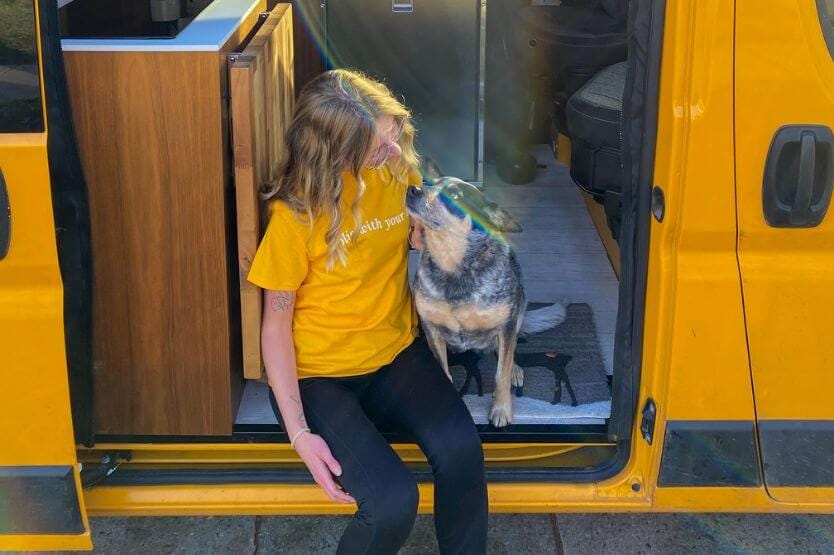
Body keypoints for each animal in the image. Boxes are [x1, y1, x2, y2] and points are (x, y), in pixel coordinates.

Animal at [404, 176, 564, 428]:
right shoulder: (432, 327)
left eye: (455, 195)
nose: (412, 189)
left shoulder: (506, 324)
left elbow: (502, 373)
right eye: (431, 182)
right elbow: (444, 371)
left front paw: (501, 408)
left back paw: (515, 368)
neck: (453, 266)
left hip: (520, 307)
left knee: (507, 351)